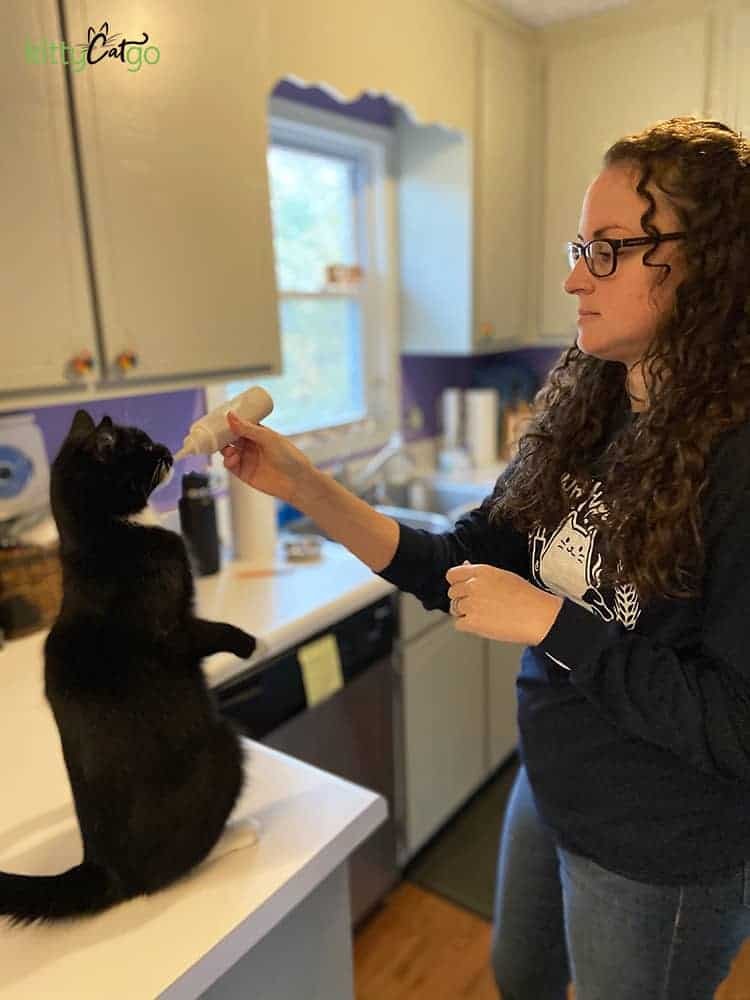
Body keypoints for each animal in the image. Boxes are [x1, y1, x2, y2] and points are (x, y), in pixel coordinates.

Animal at [0, 410, 256, 924]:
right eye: (138, 446)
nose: (165, 446)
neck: (105, 534)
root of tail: (102, 868)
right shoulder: (173, 627)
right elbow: (208, 632)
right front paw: (246, 643)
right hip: (227, 746)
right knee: (170, 873)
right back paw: (235, 839)